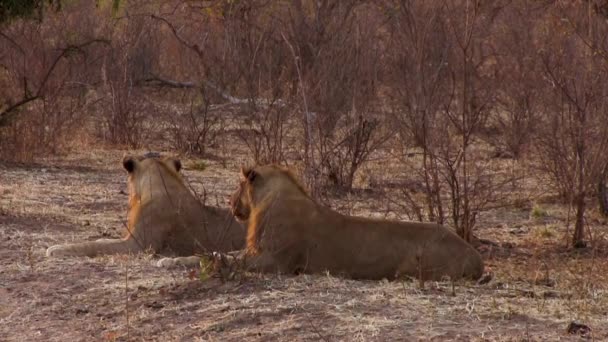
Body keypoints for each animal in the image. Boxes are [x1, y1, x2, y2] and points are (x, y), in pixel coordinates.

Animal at [228, 165, 484, 280]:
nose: (229, 202)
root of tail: (477, 257)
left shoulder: (278, 262)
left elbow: (237, 261)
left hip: (415, 268)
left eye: (239, 185)